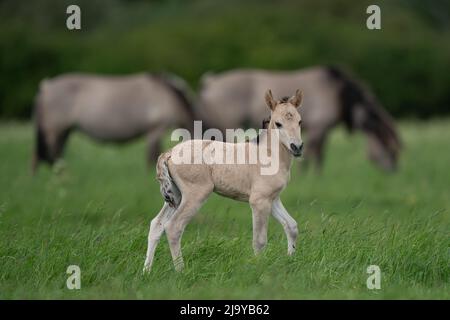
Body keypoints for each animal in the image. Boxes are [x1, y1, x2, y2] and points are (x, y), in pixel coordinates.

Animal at [31, 72, 197, 174]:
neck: (169, 95)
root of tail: (46, 86)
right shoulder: (155, 130)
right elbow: (152, 156)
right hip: (54, 131)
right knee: (47, 156)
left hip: (65, 131)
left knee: (51, 156)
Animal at [143, 89, 306, 272]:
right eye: (278, 123)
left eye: (300, 121)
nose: (297, 147)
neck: (269, 154)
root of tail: (170, 152)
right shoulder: (259, 201)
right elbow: (259, 240)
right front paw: (258, 268)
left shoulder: (273, 198)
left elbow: (291, 226)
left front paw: (291, 259)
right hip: (195, 194)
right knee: (173, 227)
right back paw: (181, 271)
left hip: (176, 197)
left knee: (157, 224)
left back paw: (146, 271)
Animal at [198, 65, 400, 174]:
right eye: (390, 151)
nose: (394, 171)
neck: (338, 92)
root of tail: (211, 81)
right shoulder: (319, 127)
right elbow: (313, 153)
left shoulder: (323, 130)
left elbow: (319, 154)